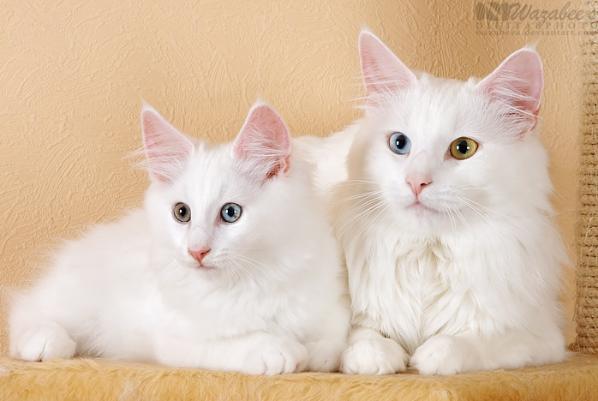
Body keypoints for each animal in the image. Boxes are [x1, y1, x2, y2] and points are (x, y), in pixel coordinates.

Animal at [9, 101, 352, 374]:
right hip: (76, 300)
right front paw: (277, 349)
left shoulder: (330, 307)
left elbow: (329, 347)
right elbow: (231, 342)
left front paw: (308, 351)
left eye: (230, 213)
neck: (254, 277)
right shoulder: (172, 335)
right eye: (182, 213)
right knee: (27, 311)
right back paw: (43, 341)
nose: (197, 251)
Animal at [338, 32, 568, 376]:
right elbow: (363, 335)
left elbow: (470, 340)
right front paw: (378, 357)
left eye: (463, 148)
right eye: (399, 143)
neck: (427, 255)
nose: (416, 182)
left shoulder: (541, 337)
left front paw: (431, 356)